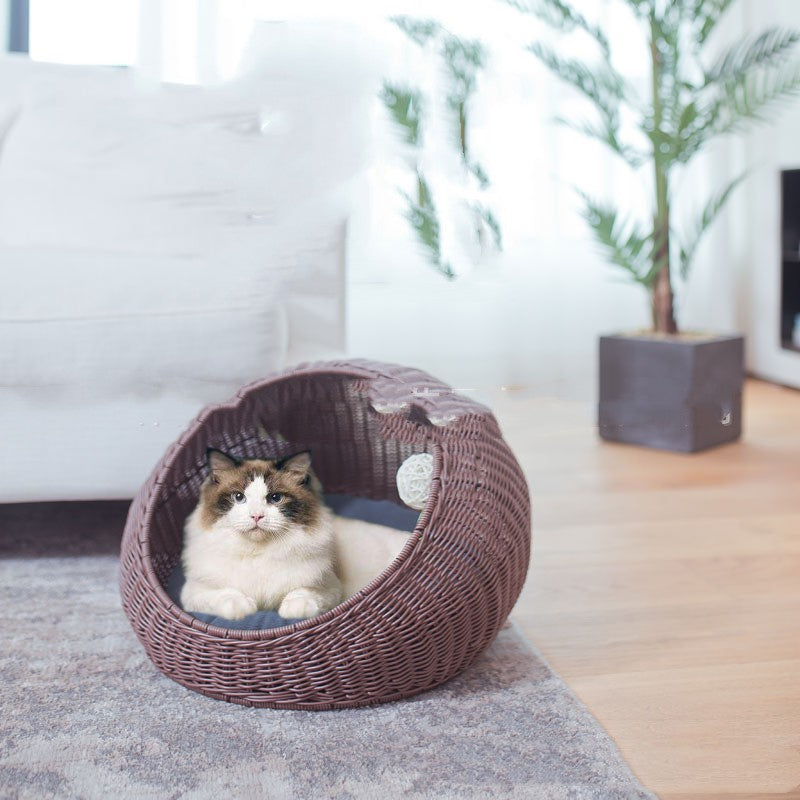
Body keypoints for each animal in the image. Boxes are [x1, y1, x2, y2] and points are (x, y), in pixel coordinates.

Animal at [180, 446, 342, 620]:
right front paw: (241, 608)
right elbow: (225, 594)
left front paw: (296, 610)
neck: (256, 552)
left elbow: (303, 592)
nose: (256, 516)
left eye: (275, 498)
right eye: (239, 497)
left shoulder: (330, 586)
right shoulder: (194, 591)